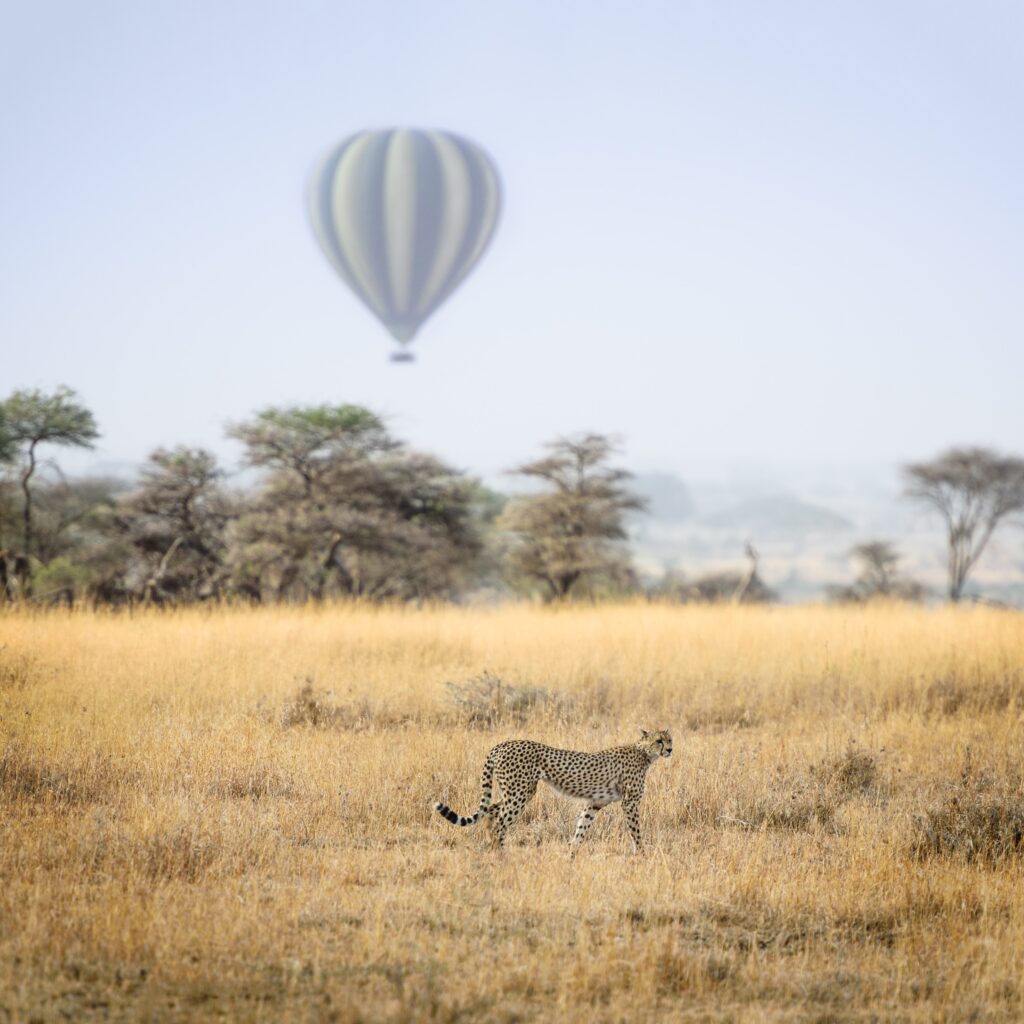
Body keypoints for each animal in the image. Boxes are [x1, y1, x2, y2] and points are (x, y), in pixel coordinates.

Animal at [432, 729, 672, 854]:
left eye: (670, 739)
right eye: (659, 740)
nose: (670, 749)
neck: (644, 753)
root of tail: (501, 745)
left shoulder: (594, 803)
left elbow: (581, 828)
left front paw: (571, 855)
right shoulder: (629, 803)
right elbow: (636, 831)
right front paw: (641, 855)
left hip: (519, 791)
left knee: (490, 812)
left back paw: (494, 850)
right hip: (519, 793)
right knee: (499, 822)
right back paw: (501, 855)